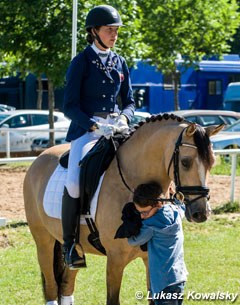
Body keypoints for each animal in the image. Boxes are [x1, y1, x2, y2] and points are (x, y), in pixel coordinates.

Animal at [23, 113, 224, 304]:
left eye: (212, 163)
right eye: (185, 162)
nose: (201, 213)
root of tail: (39, 158)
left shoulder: (150, 258)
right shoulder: (115, 260)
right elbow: (113, 300)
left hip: (76, 252)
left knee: (66, 286)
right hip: (44, 242)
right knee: (51, 287)